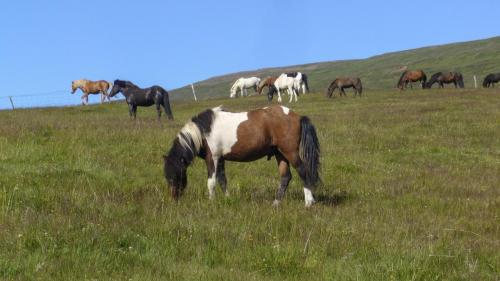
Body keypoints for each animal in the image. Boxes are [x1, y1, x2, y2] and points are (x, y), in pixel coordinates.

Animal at [163, 104, 320, 206]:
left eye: (174, 176)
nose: (173, 200)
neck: (204, 130)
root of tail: (297, 116)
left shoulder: (212, 158)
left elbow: (211, 182)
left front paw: (211, 202)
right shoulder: (221, 159)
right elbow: (222, 180)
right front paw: (227, 198)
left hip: (290, 152)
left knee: (303, 172)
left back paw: (308, 202)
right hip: (280, 154)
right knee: (286, 177)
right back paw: (276, 203)